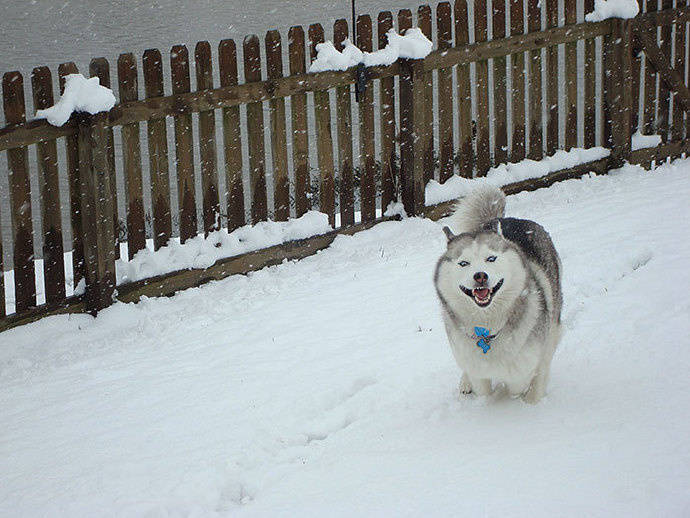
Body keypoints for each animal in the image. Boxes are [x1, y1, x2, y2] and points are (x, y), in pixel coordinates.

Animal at [436, 187, 560, 406]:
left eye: (491, 258)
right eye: (463, 263)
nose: (480, 276)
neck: (488, 329)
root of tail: (502, 218)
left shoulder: (526, 362)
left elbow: (521, 382)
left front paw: (525, 400)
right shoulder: (474, 364)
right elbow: (483, 388)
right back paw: (465, 383)